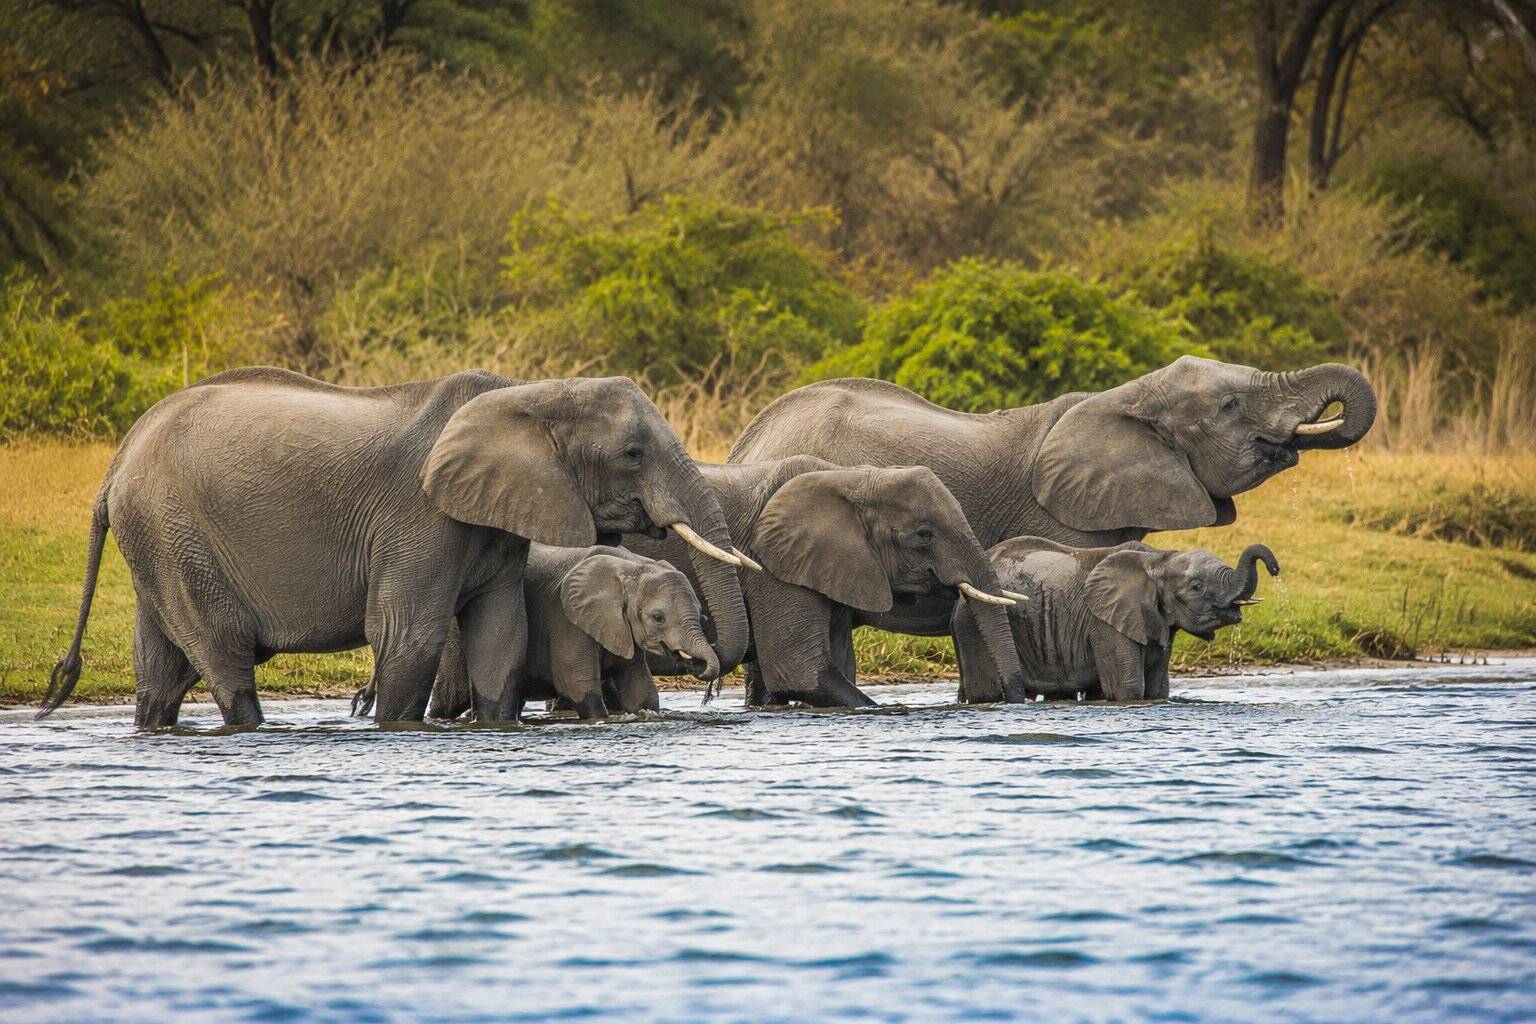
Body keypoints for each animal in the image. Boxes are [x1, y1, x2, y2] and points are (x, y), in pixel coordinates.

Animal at [39, 367, 749, 728]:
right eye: (632, 455)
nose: (710, 684)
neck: (529, 393)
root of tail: (117, 462)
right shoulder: (419, 513)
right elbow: (410, 631)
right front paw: (397, 733)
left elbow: (501, 632)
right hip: (175, 530)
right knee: (221, 655)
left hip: (160, 538)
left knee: (160, 663)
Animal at [624, 458, 1028, 707]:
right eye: (924, 534)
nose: (1015, 699)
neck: (851, 477)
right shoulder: (776, 565)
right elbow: (800, 670)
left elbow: (835, 666)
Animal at [953, 537, 1279, 701]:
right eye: (1196, 587)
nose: (1275, 568)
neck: (1158, 559)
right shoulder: (1104, 623)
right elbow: (1129, 689)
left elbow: (1157, 689)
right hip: (971, 626)